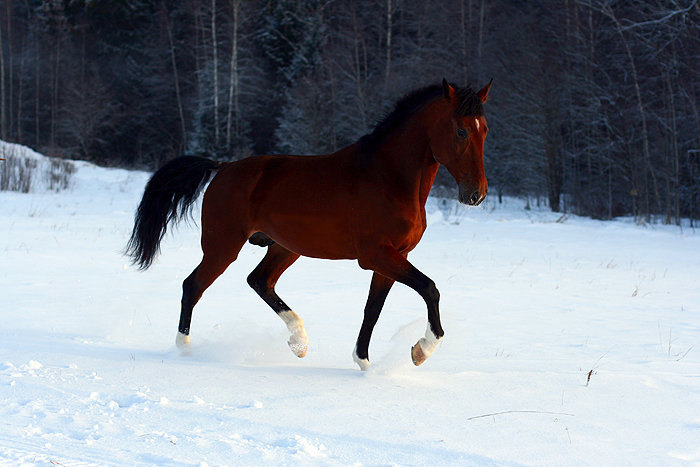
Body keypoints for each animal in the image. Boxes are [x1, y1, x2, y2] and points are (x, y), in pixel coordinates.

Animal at [126, 78, 492, 372]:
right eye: (461, 130)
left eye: (484, 129)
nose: (476, 194)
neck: (388, 178)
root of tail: (224, 167)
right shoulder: (376, 256)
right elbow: (429, 288)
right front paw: (421, 350)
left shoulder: (392, 259)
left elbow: (372, 310)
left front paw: (364, 363)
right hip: (222, 246)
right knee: (193, 286)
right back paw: (184, 350)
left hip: (285, 247)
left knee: (259, 281)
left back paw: (299, 342)